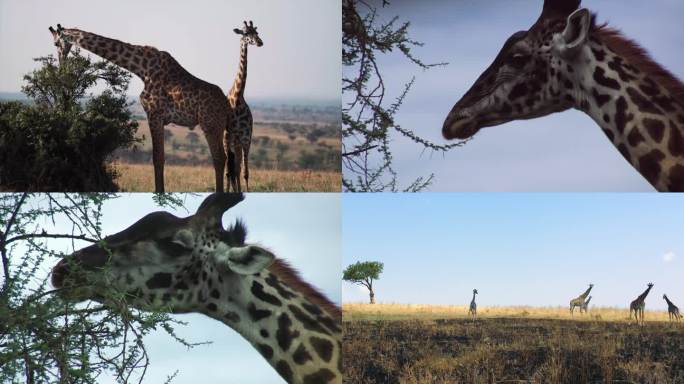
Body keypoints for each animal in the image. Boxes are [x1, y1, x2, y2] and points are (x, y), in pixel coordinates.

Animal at [49, 23, 230, 192]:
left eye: (56, 43)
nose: (61, 63)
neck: (141, 68)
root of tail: (227, 105)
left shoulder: (154, 114)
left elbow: (157, 158)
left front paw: (159, 193)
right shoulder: (159, 118)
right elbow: (160, 157)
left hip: (210, 125)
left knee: (219, 158)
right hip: (221, 127)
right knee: (226, 157)